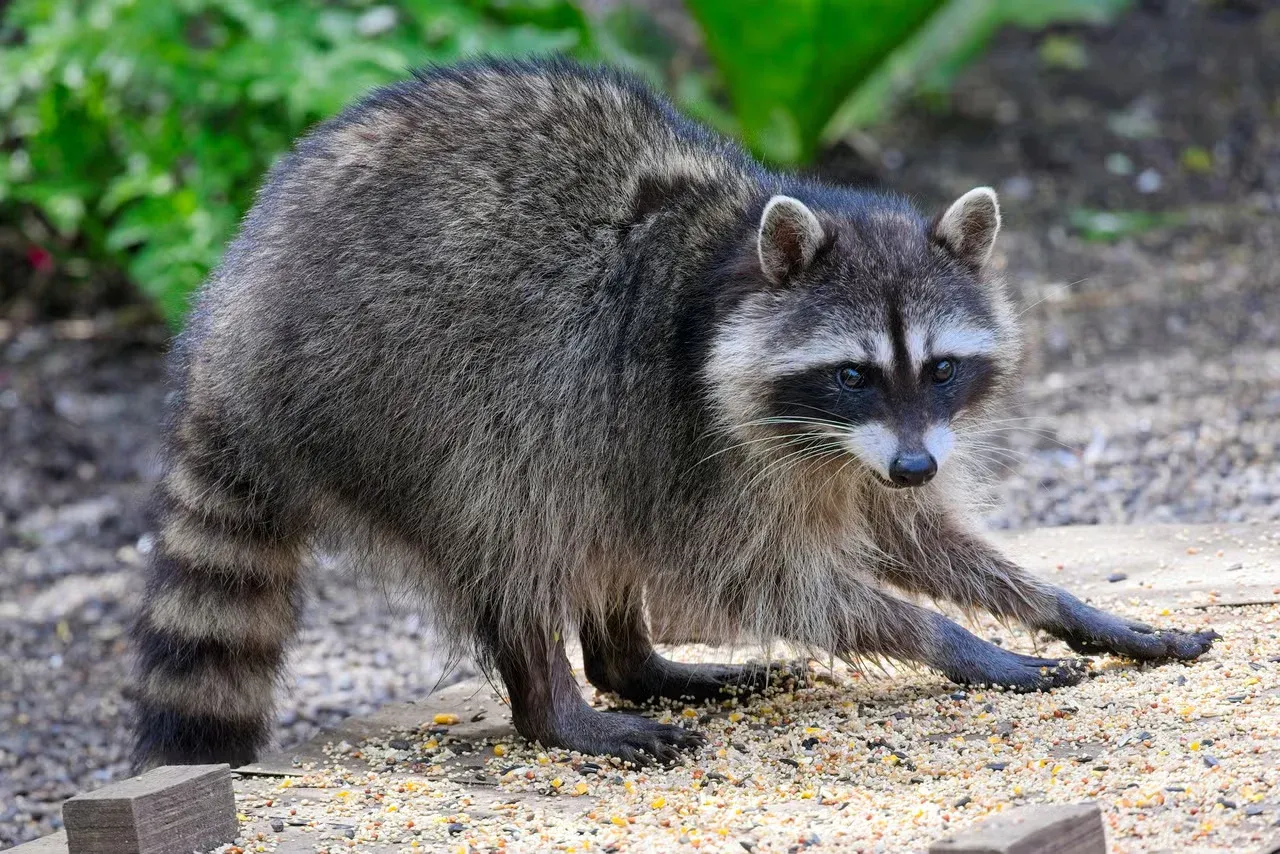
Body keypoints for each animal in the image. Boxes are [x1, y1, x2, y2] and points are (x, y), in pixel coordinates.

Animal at [131, 58, 1218, 770]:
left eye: (943, 367)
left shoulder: (847, 458)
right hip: (395, 388)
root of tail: (223, 329)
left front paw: (1062, 607)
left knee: (591, 513)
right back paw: (556, 705)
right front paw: (952, 642)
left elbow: (913, 534)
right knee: (510, 504)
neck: (731, 272)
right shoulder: (691, 431)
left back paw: (632, 661)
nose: (914, 465)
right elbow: (756, 576)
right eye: (854, 374)